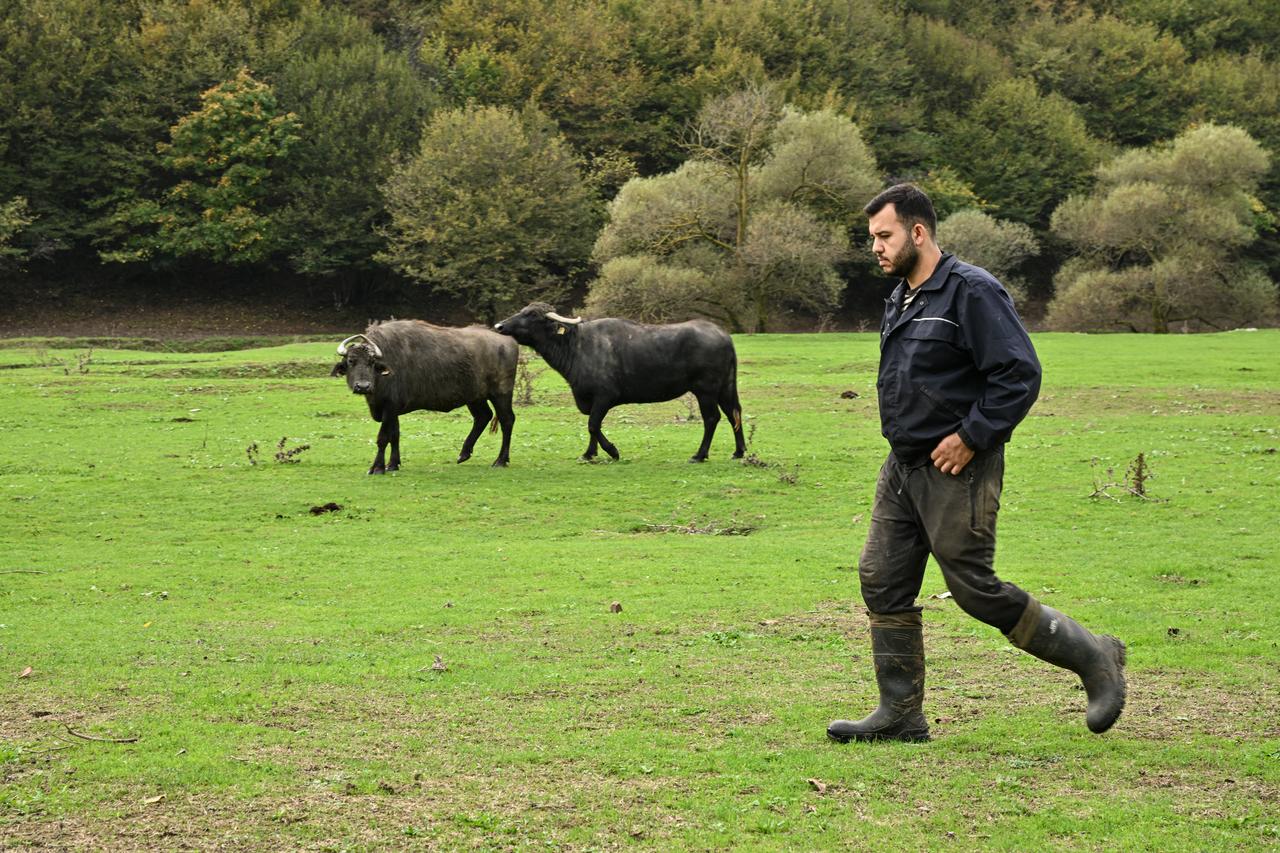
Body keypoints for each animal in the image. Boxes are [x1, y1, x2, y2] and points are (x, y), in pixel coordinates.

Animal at [331, 320, 518, 473]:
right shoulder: (393, 410)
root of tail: (508, 342)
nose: (363, 386)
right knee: (483, 417)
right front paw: (393, 464)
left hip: (501, 393)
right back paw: (464, 453)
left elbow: (383, 437)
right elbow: (395, 435)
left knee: (507, 420)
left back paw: (501, 460)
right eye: (351, 361)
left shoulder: (389, 407)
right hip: (475, 397)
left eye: (371, 362)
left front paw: (377, 467)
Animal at [494, 303, 746, 462]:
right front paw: (589, 453)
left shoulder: (605, 396)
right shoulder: (588, 399)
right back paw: (739, 451)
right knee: (734, 412)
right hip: (726, 388)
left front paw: (612, 451)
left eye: (532, 315)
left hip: (706, 390)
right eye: (522, 311)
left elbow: (593, 425)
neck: (578, 346)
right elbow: (591, 426)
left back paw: (699, 455)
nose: (499, 326)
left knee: (712, 418)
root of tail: (723, 335)